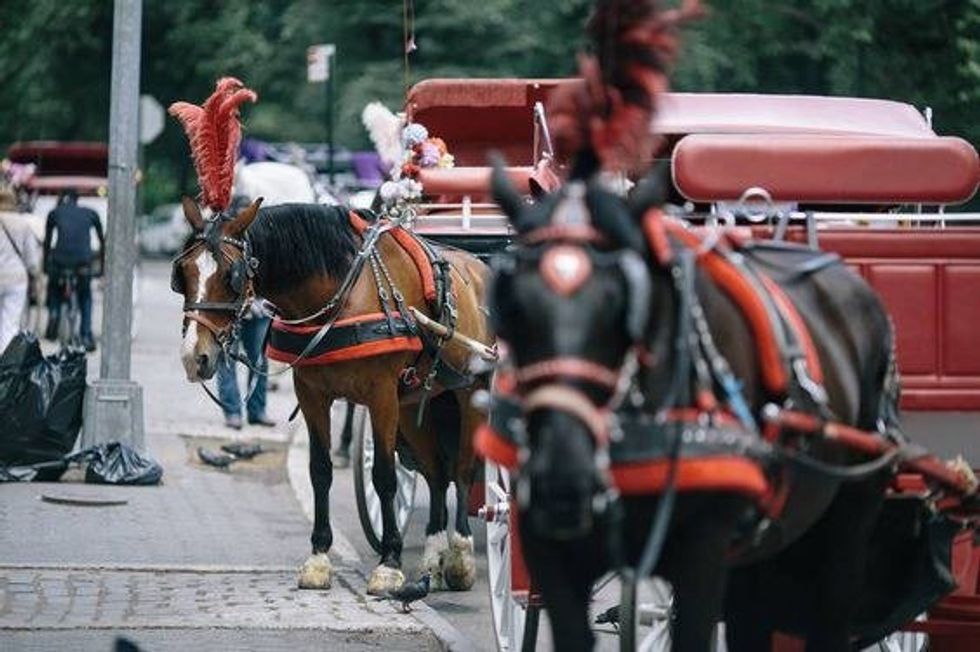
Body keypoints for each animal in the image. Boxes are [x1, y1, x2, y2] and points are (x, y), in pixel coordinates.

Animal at [174, 197, 490, 592]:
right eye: (182, 274)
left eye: (232, 277)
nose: (194, 357)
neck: (343, 294)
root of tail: (480, 267)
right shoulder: (313, 395)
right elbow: (320, 470)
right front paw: (319, 557)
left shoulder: (382, 396)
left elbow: (384, 475)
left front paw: (389, 562)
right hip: (419, 403)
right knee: (435, 473)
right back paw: (432, 559)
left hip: (470, 392)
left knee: (462, 470)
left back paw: (460, 556)